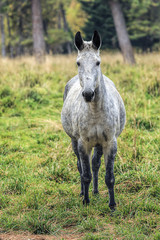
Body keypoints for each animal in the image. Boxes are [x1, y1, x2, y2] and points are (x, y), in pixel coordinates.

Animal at [60, 31, 125, 209]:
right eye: (78, 63)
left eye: (98, 62)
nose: (88, 94)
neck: (95, 111)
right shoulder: (83, 143)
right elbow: (85, 174)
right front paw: (86, 201)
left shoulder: (110, 142)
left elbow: (109, 176)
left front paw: (112, 205)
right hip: (74, 141)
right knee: (81, 167)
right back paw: (84, 192)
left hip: (99, 144)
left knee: (96, 164)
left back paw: (95, 191)